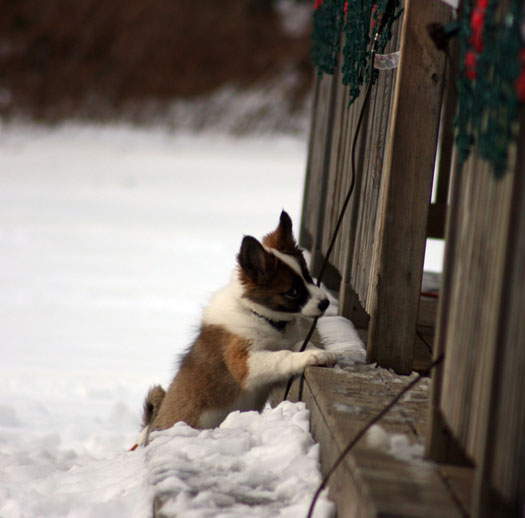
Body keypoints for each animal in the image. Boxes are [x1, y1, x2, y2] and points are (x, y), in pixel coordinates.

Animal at [137, 211, 334, 446]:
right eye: (293, 292)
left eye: (308, 275)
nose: (326, 303)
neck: (259, 316)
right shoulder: (244, 363)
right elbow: (281, 356)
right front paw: (313, 356)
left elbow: (295, 345)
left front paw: (316, 350)